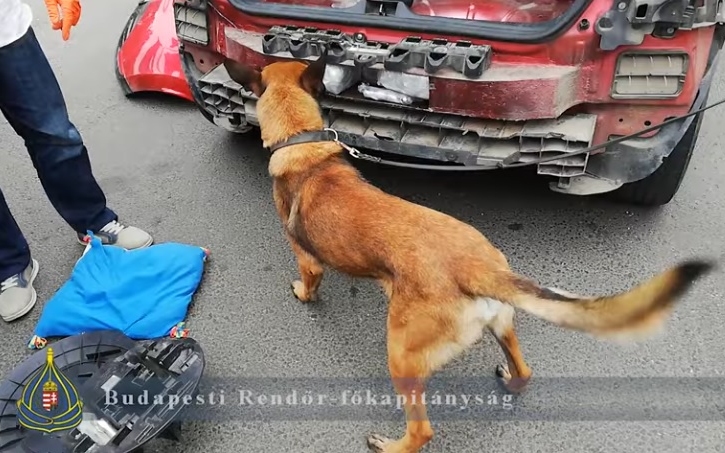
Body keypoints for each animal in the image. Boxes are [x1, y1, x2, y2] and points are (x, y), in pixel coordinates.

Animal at [223, 51, 716, 450]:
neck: (302, 139)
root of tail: (478, 267)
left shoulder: (306, 258)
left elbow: (309, 279)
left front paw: (301, 294)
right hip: (501, 323)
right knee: (524, 370)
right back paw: (512, 381)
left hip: (401, 354)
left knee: (422, 431)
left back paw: (393, 444)